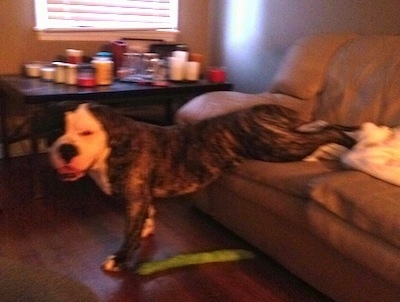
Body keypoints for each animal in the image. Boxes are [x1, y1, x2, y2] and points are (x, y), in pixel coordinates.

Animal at [48, 101, 354, 272]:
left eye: (86, 132)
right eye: (55, 132)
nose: (66, 149)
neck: (113, 144)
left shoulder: (134, 198)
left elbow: (130, 231)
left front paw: (121, 259)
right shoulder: (142, 196)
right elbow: (147, 215)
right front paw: (147, 227)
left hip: (276, 146)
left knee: (328, 131)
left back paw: (346, 144)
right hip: (284, 142)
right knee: (320, 130)